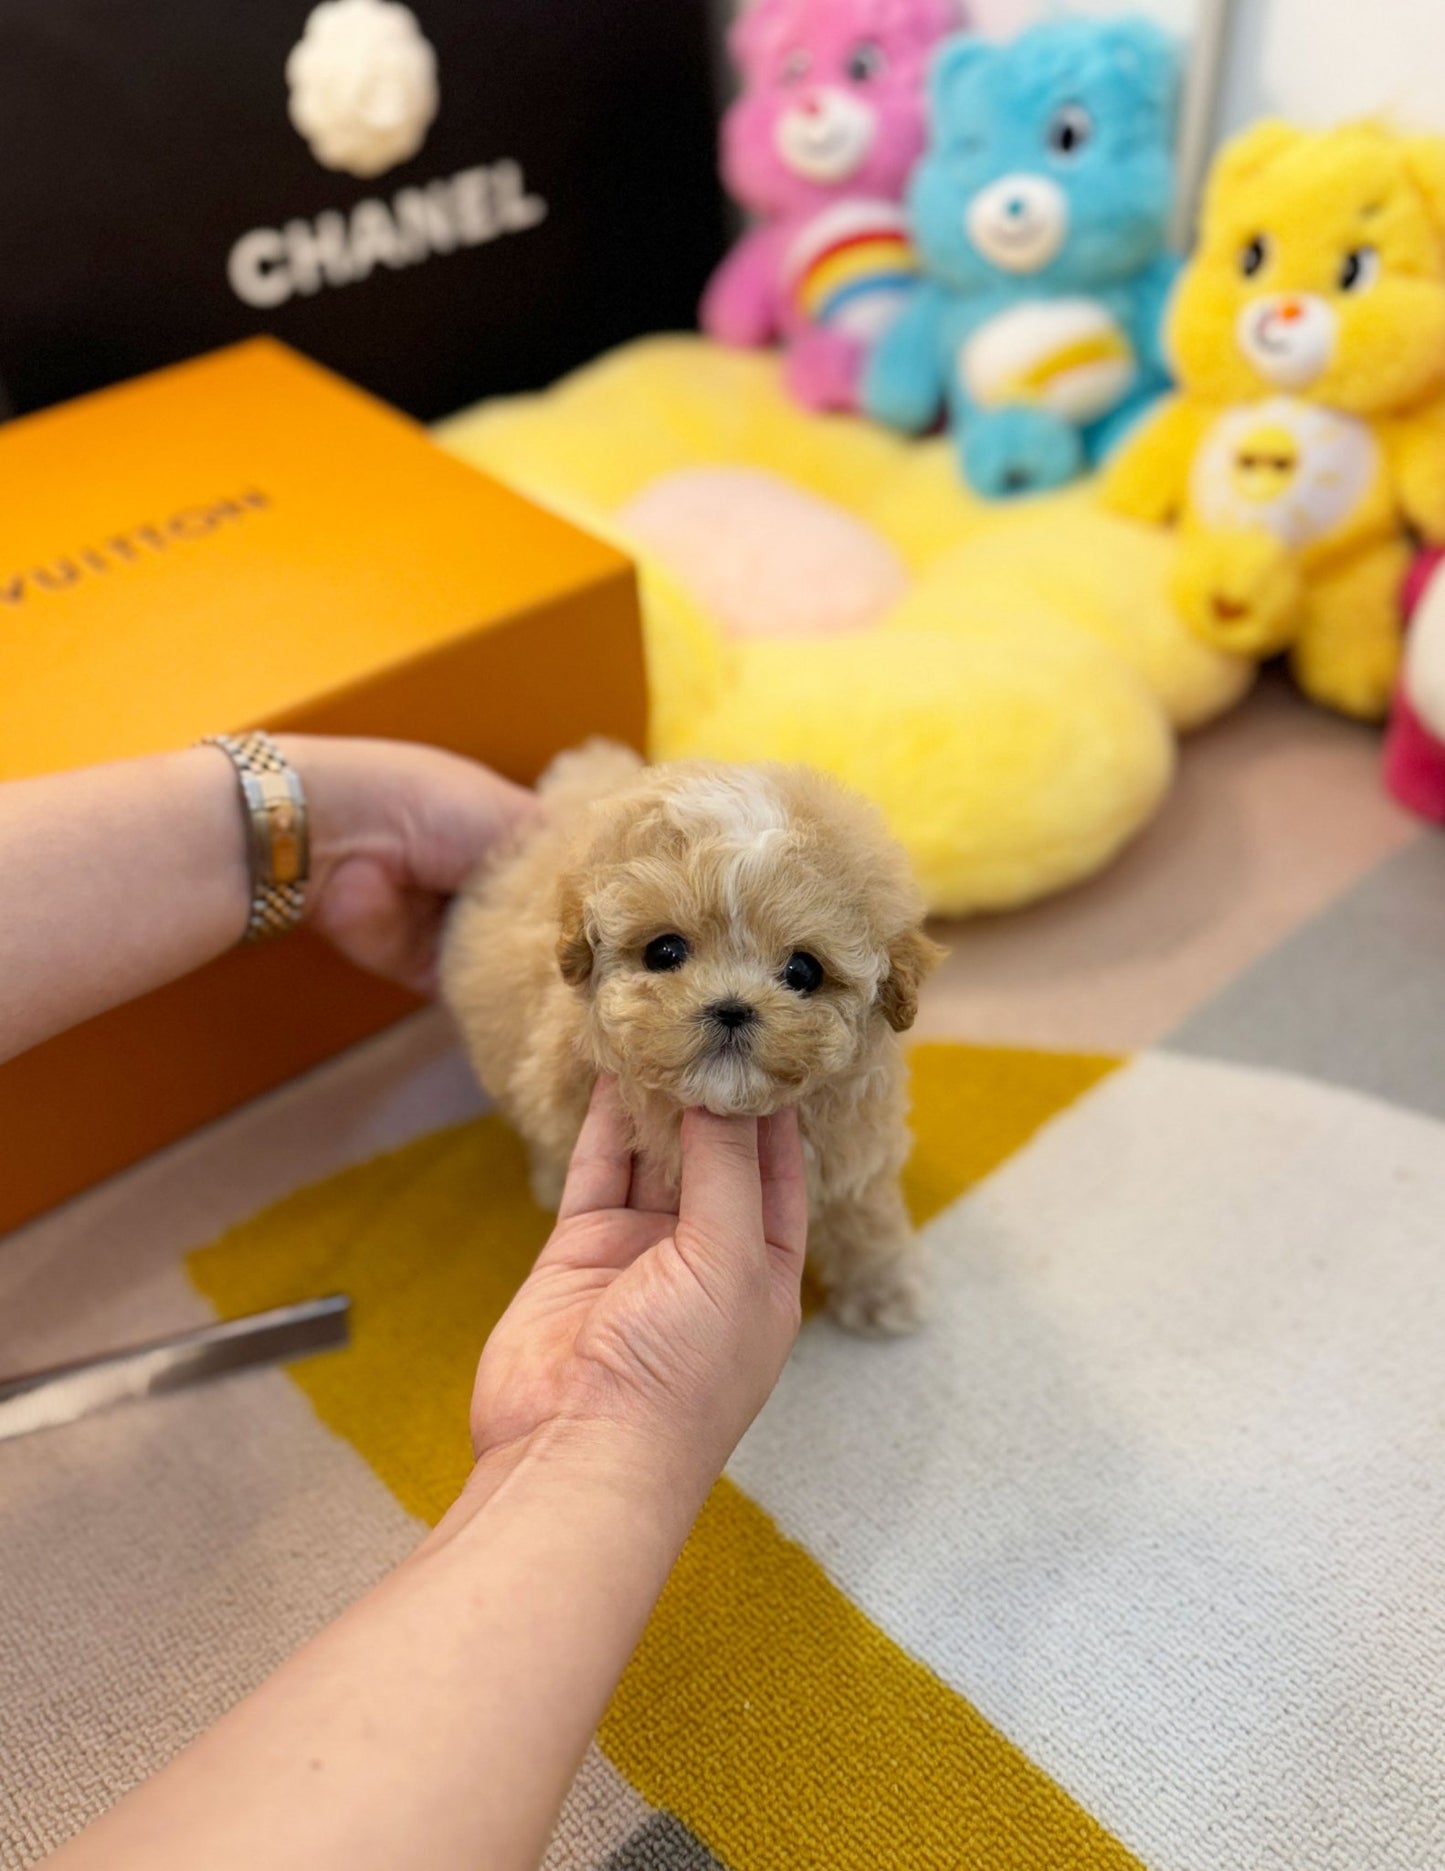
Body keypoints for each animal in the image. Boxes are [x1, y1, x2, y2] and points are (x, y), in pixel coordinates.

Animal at [445, 737, 943, 1339]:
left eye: (803, 971)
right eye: (664, 952)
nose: (730, 1008)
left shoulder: (855, 1147)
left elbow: (865, 1221)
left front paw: (885, 1294)